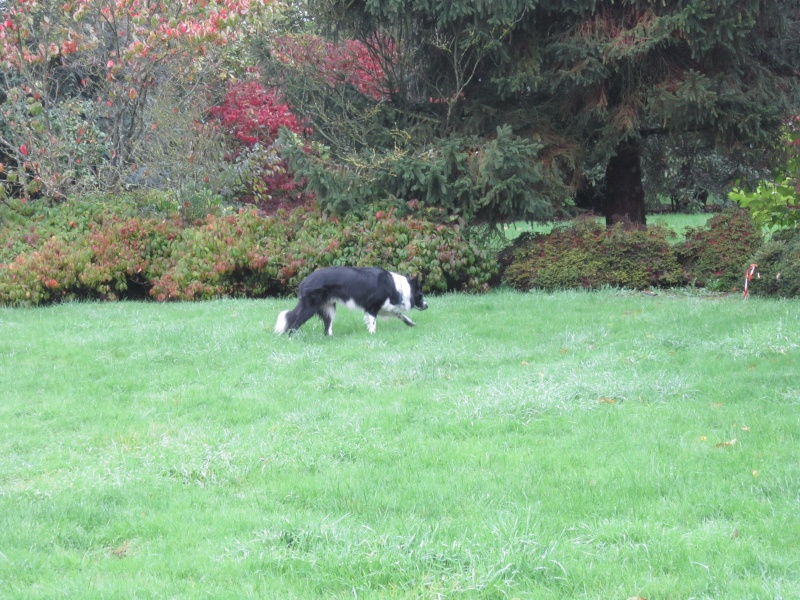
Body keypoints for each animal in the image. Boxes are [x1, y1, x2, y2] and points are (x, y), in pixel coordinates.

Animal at [276, 266, 428, 336]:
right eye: (420, 295)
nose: (427, 306)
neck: (398, 287)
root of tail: (304, 282)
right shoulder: (372, 307)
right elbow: (373, 323)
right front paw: (373, 334)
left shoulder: (383, 306)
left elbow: (399, 313)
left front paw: (410, 323)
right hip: (310, 308)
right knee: (293, 324)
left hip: (329, 308)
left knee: (327, 328)